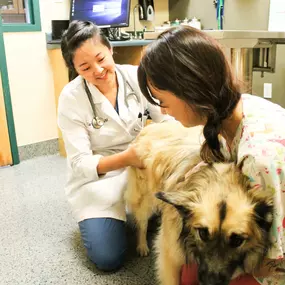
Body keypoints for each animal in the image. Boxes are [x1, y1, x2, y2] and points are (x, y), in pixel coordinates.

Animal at [125, 121, 272, 284]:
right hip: (144, 199)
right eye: (202, 233)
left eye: (237, 240)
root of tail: (152, 124)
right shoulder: (170, 256)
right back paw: (142, 245)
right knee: (142, 223)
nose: (210, 282)